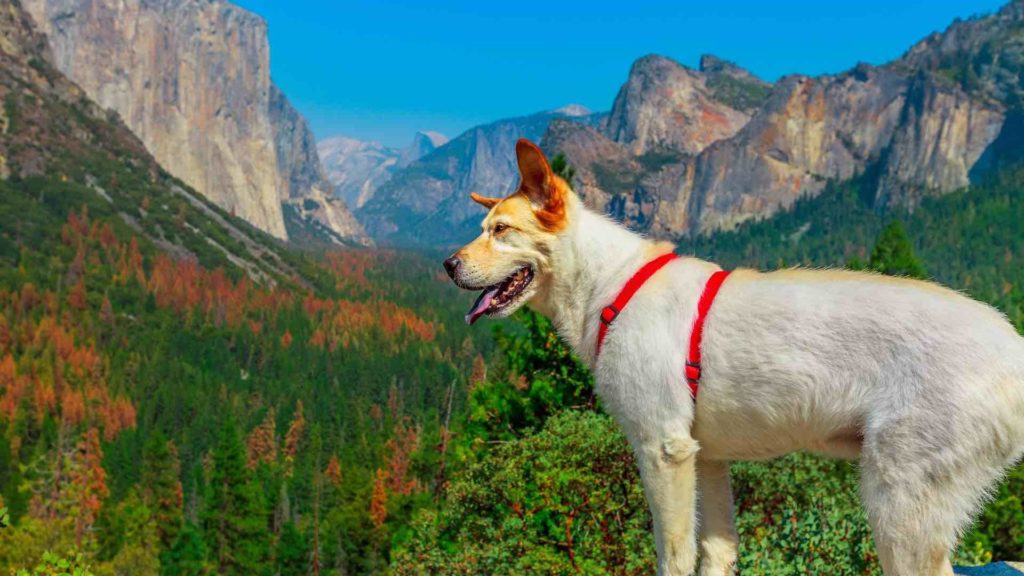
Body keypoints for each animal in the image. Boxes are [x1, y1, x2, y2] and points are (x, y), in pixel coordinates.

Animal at [444, 139, 1024, 573]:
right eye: (483, 228)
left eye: (501, 231)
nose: (447, 265)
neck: (611, 284)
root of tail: (1011, 344)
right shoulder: (707, 459)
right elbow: (717, 554)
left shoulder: (663, 451)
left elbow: (674, 556)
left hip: (899, 506)